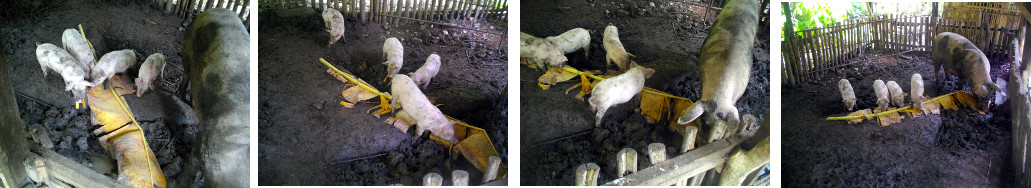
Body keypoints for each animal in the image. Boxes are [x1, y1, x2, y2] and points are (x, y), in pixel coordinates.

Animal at [177, 7, 249, 188]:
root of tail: (216, 9)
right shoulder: (205, 134)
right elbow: (192, 163)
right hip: (187, 46)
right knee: (186, 73)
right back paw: (181, 97)